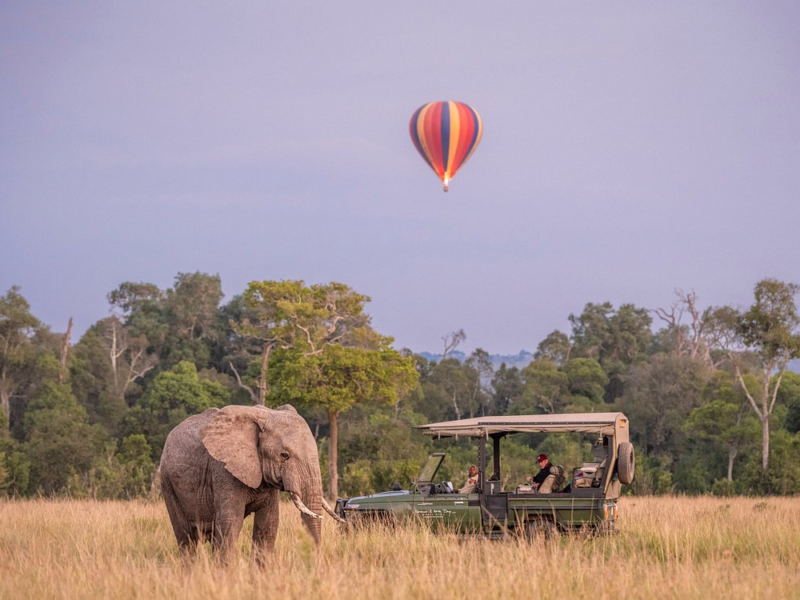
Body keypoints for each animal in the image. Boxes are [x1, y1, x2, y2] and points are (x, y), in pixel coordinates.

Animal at [159, 404, 340, 564]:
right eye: (284, 455)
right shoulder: (223, 471)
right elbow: (231, 524)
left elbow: (268, 524)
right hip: (168, 482)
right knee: (186, 538)